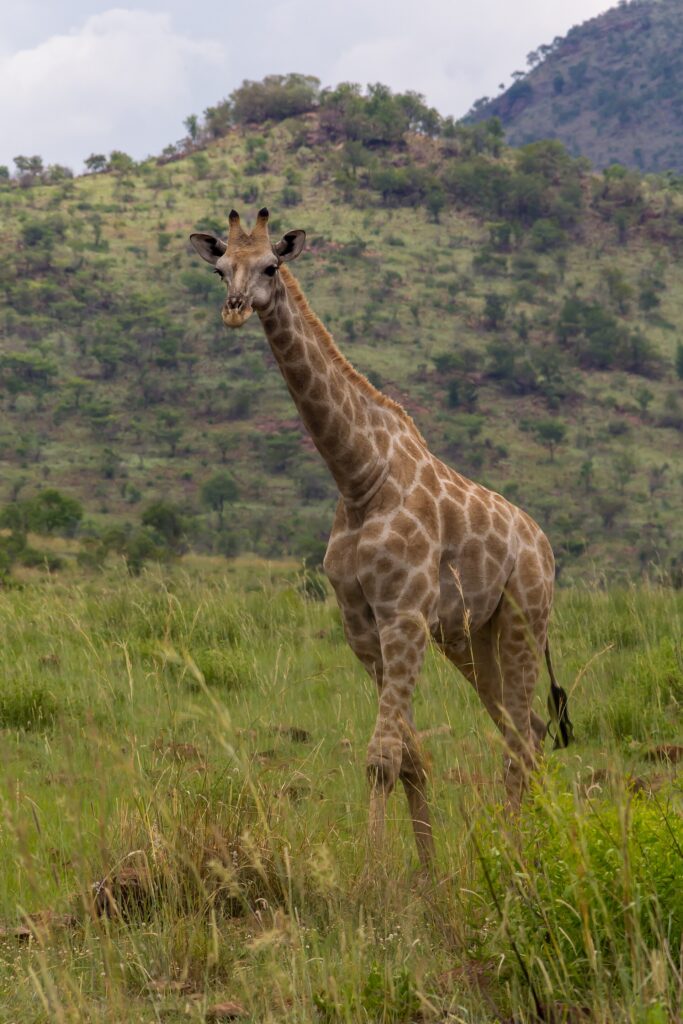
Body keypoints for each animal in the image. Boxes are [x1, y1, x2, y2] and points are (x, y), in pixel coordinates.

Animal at [189, 208, 573, 868]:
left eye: (272, 266)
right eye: (220, 269)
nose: (235, 308)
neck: (360, 475)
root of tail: (544, 547)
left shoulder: (404, 615)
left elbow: (381, 759)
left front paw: (374, 879)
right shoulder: (363, 626)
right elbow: (411, 760)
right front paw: (427, 873)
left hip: (525, 617)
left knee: (523, 739)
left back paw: (517, 859)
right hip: (474, 637)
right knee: (525, 729)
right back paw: (525, 847)